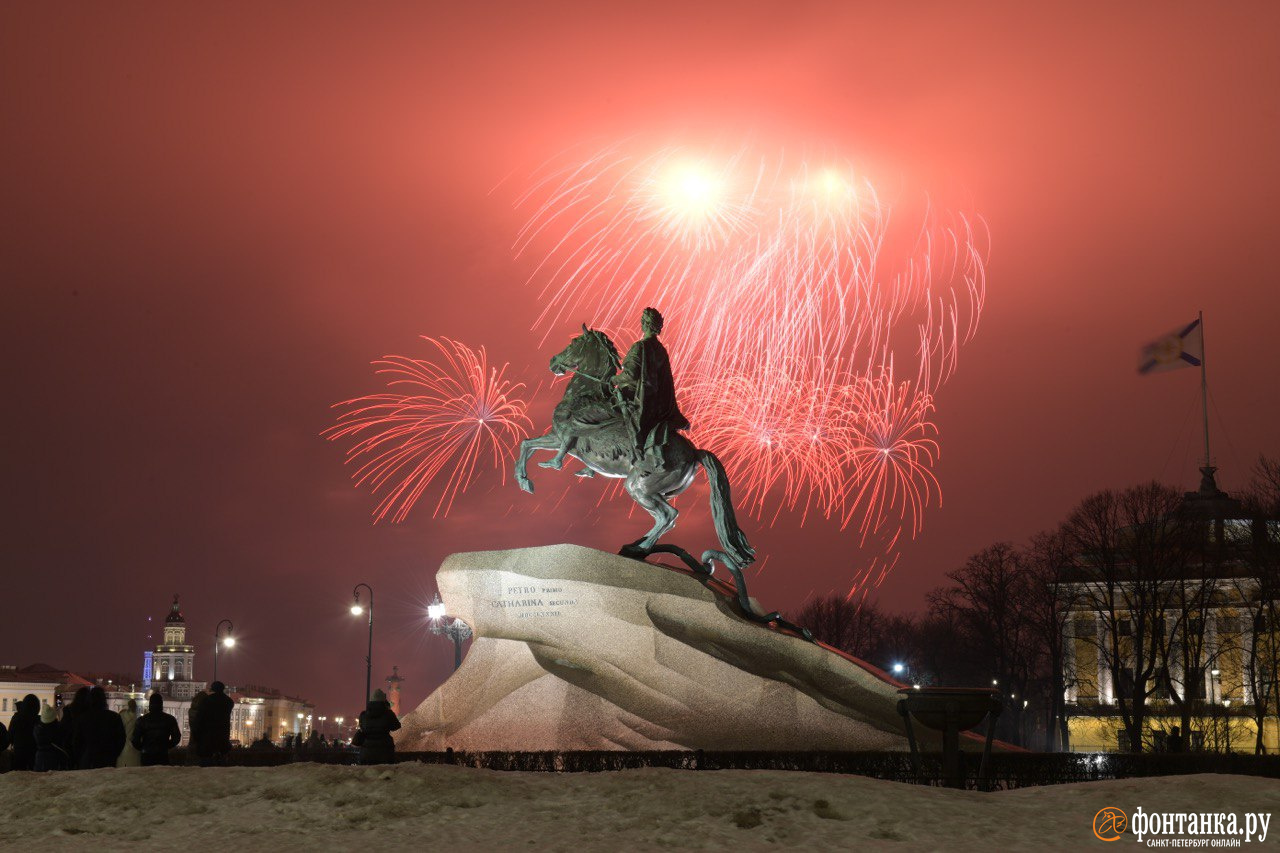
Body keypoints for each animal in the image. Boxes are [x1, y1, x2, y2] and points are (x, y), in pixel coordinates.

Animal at [514, 325, 752, 571]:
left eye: (574, 343)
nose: (553, 361)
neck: (585, 395)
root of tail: (694, 452)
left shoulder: (562, 437)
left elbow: (531, 446)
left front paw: (534, 475)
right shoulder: (554, 436)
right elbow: (527, 445)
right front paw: (525, 480)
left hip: (638, 487)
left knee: (668, 516)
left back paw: (638, 549)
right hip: (653, 491)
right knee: (667, 517)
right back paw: (638, 544)